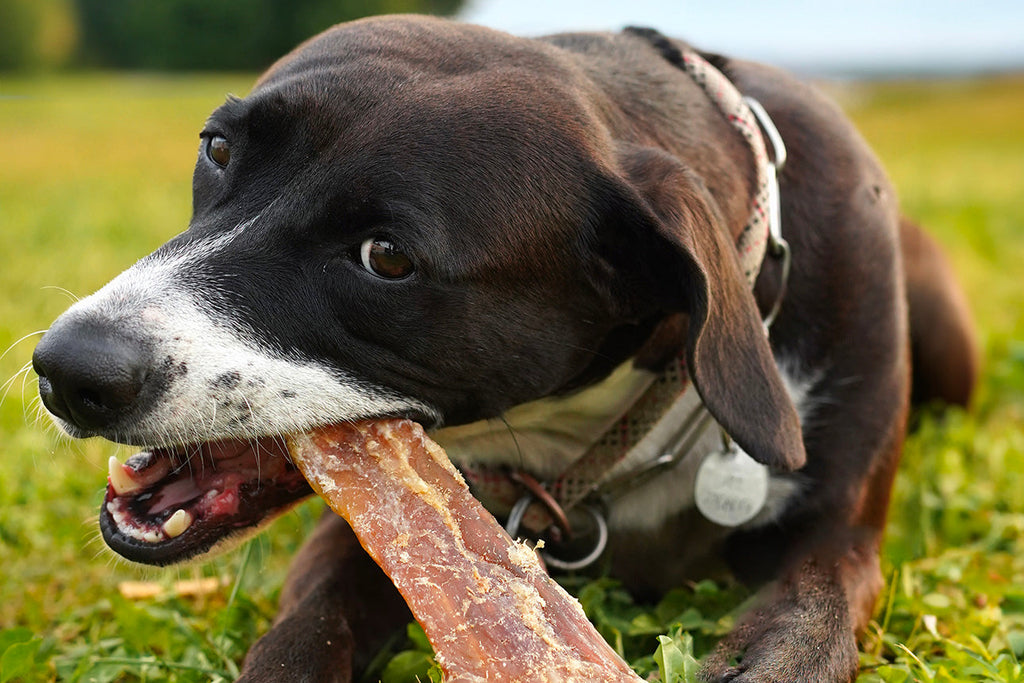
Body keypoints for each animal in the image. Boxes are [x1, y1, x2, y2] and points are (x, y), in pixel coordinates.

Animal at [34, 15, 974, 683]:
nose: (66, 370)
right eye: (218, 148)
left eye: (386, 257)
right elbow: (307, 624)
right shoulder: (379, 534)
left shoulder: (838, 535)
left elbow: (811, 618)